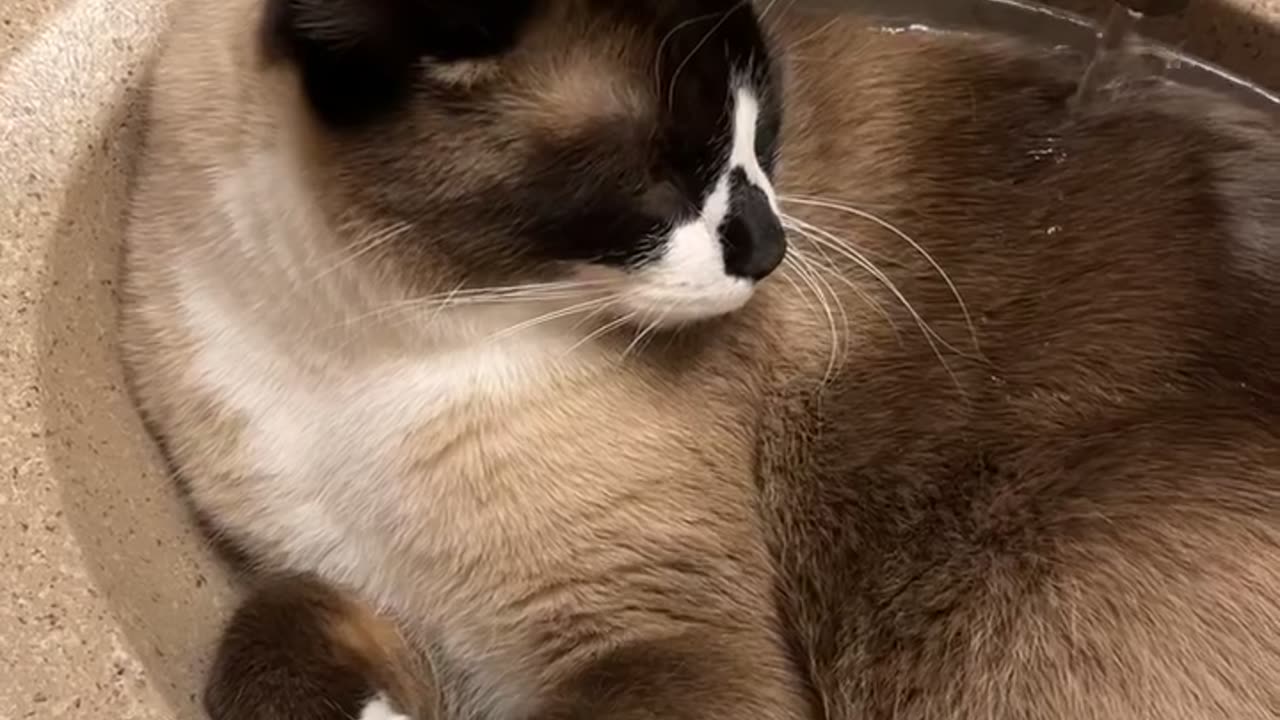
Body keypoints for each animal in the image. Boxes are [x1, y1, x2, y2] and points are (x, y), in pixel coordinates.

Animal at [120, 1, 1280, 717]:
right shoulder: (337, 586)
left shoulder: (648, 633)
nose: (773, 249)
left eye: (766, 141)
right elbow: (271, 627)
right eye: (664, 176)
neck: (362, 350)